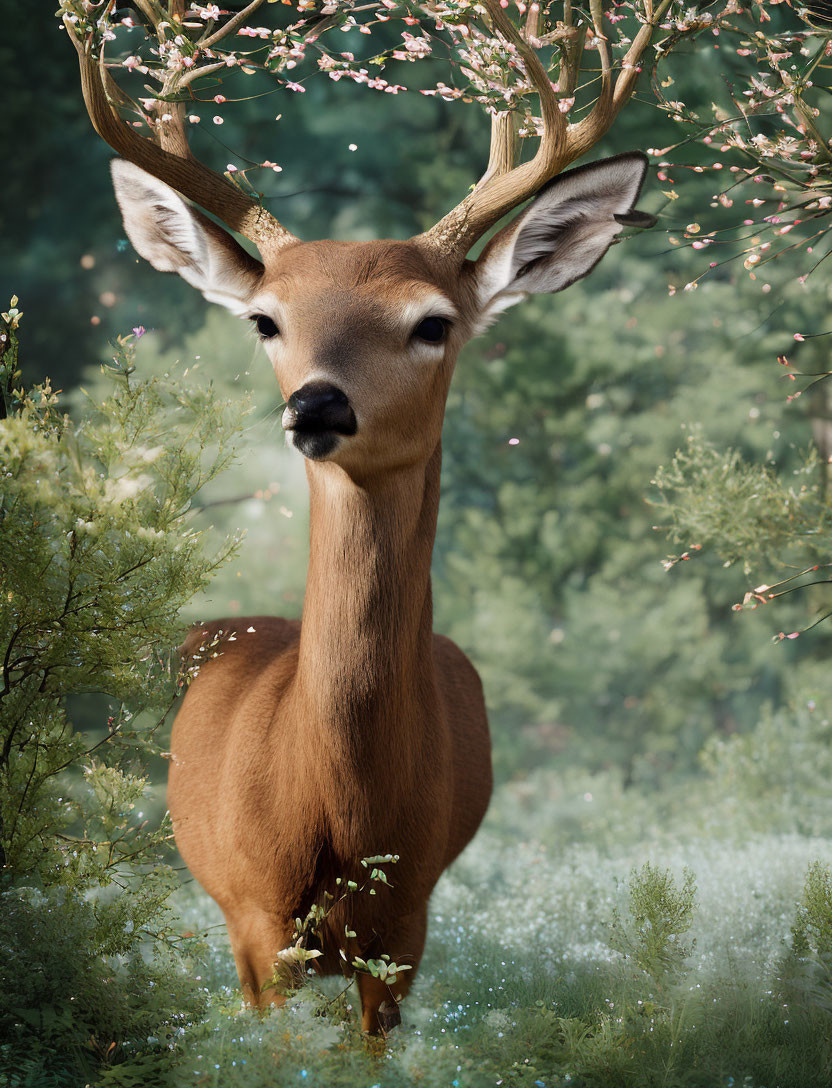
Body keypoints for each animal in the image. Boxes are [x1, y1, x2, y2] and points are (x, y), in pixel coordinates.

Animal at [64, 0, 656, 1035]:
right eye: (264, 319)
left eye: (434, 322)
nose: (317, 406)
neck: (338, 806)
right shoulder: (258, 920)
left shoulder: (405, 927)